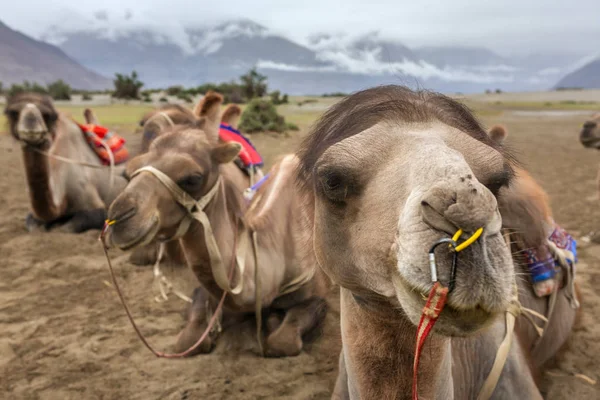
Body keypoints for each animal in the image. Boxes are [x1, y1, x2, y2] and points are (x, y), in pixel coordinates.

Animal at [3, 92, 127, 233]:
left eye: (48, 115)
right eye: (13, 112)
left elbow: (66, 228)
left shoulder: (94, 204)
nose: (31, 122)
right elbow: (33, 225)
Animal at [102, 94, 328, 356]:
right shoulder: (204, 292)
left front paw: (272, 322)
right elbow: (188, 339)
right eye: (129, 172)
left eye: (192, 178)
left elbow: (283, 342)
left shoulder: (316, 295)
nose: (118, 220)